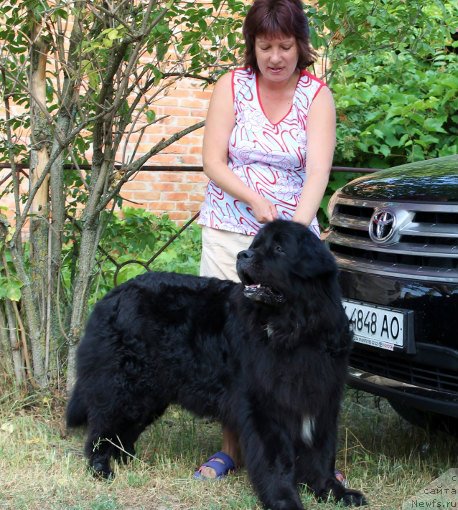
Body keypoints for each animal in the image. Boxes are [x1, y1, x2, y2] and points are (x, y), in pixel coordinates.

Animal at [66, 220, 366, 510]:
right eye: (255, 245)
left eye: (279, 248)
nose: (243, 255)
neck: (294, 330)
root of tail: (113, 295)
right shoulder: (265, 406)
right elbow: (277, 460)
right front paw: (284, 500)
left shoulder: (321, 400)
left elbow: (322, 454)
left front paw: (335, 492)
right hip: (124, 386)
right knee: (102, 430)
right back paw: (101, 468)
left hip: (149, 393)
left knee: (125, 431)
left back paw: (129, 461)